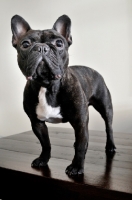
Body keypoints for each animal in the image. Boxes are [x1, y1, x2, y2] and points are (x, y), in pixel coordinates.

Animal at [11, 14, 115, 176]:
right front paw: (43, 159)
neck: (47, 86)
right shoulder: (37, 122)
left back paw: (110, 146)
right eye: (26, 44)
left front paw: (76, 166)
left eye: (59, 43)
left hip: (105, 107)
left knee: (108, 126)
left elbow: (80, 145)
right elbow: (45, 143)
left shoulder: (80, 120)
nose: (42, 47)